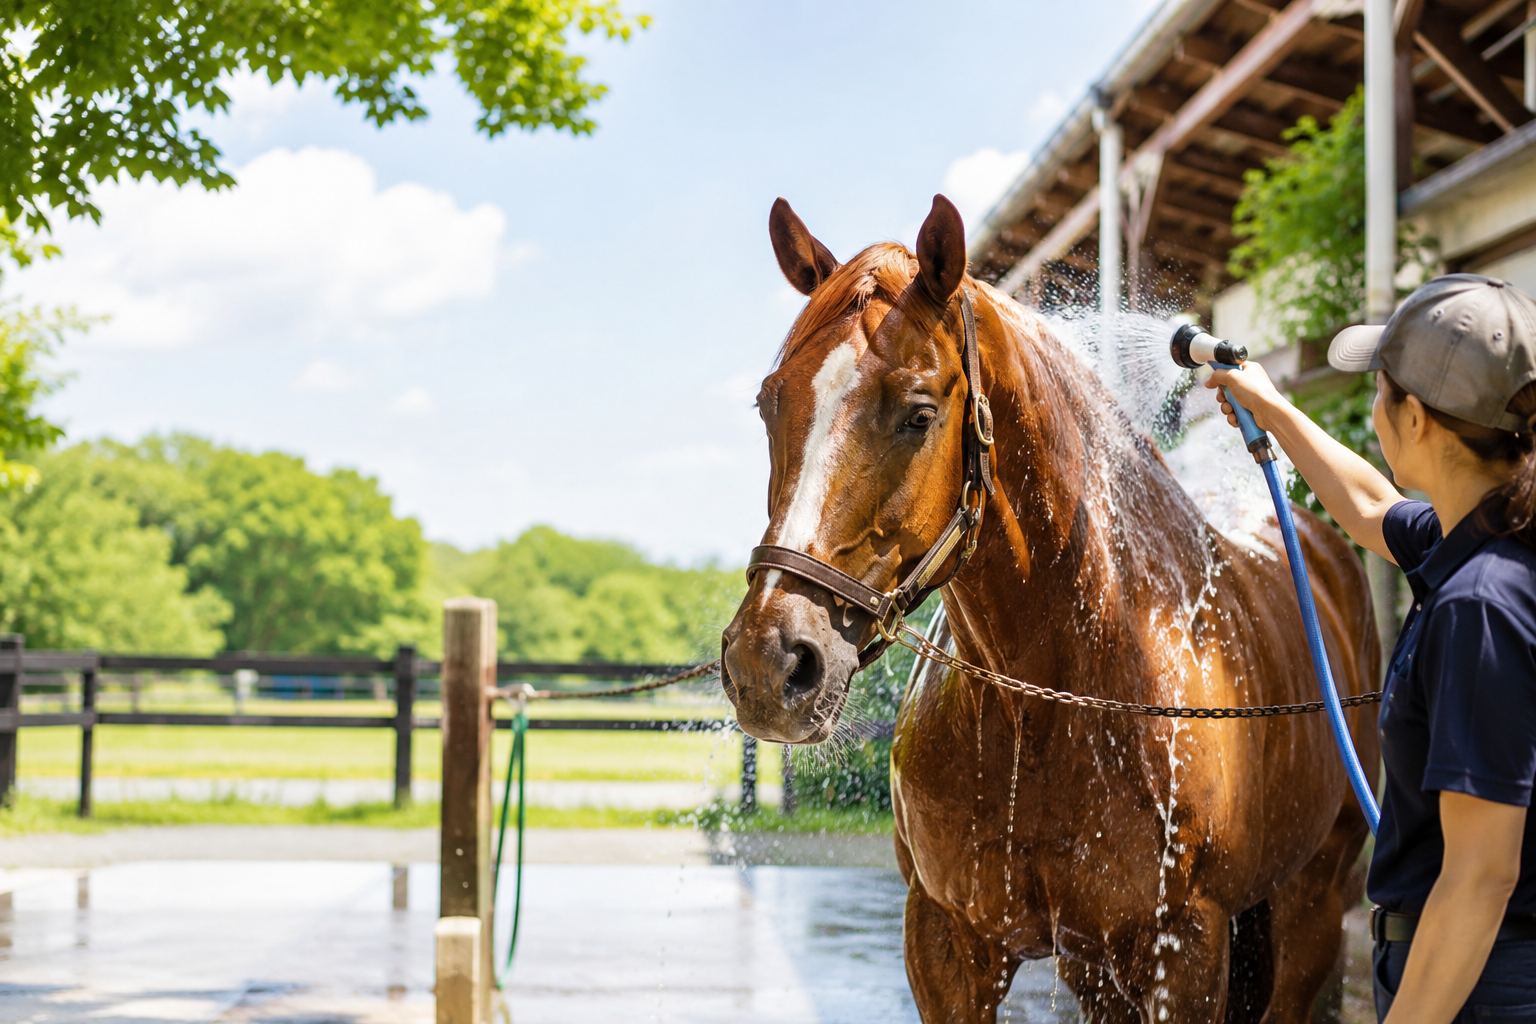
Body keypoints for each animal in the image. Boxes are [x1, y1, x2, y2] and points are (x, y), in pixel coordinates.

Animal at [720, 195, 1379, 1024]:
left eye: (919, 413)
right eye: (768, 403)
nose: (769, 663)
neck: (1052, 696)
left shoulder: (1183, 951)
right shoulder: (948, 942)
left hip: (1311, 907)